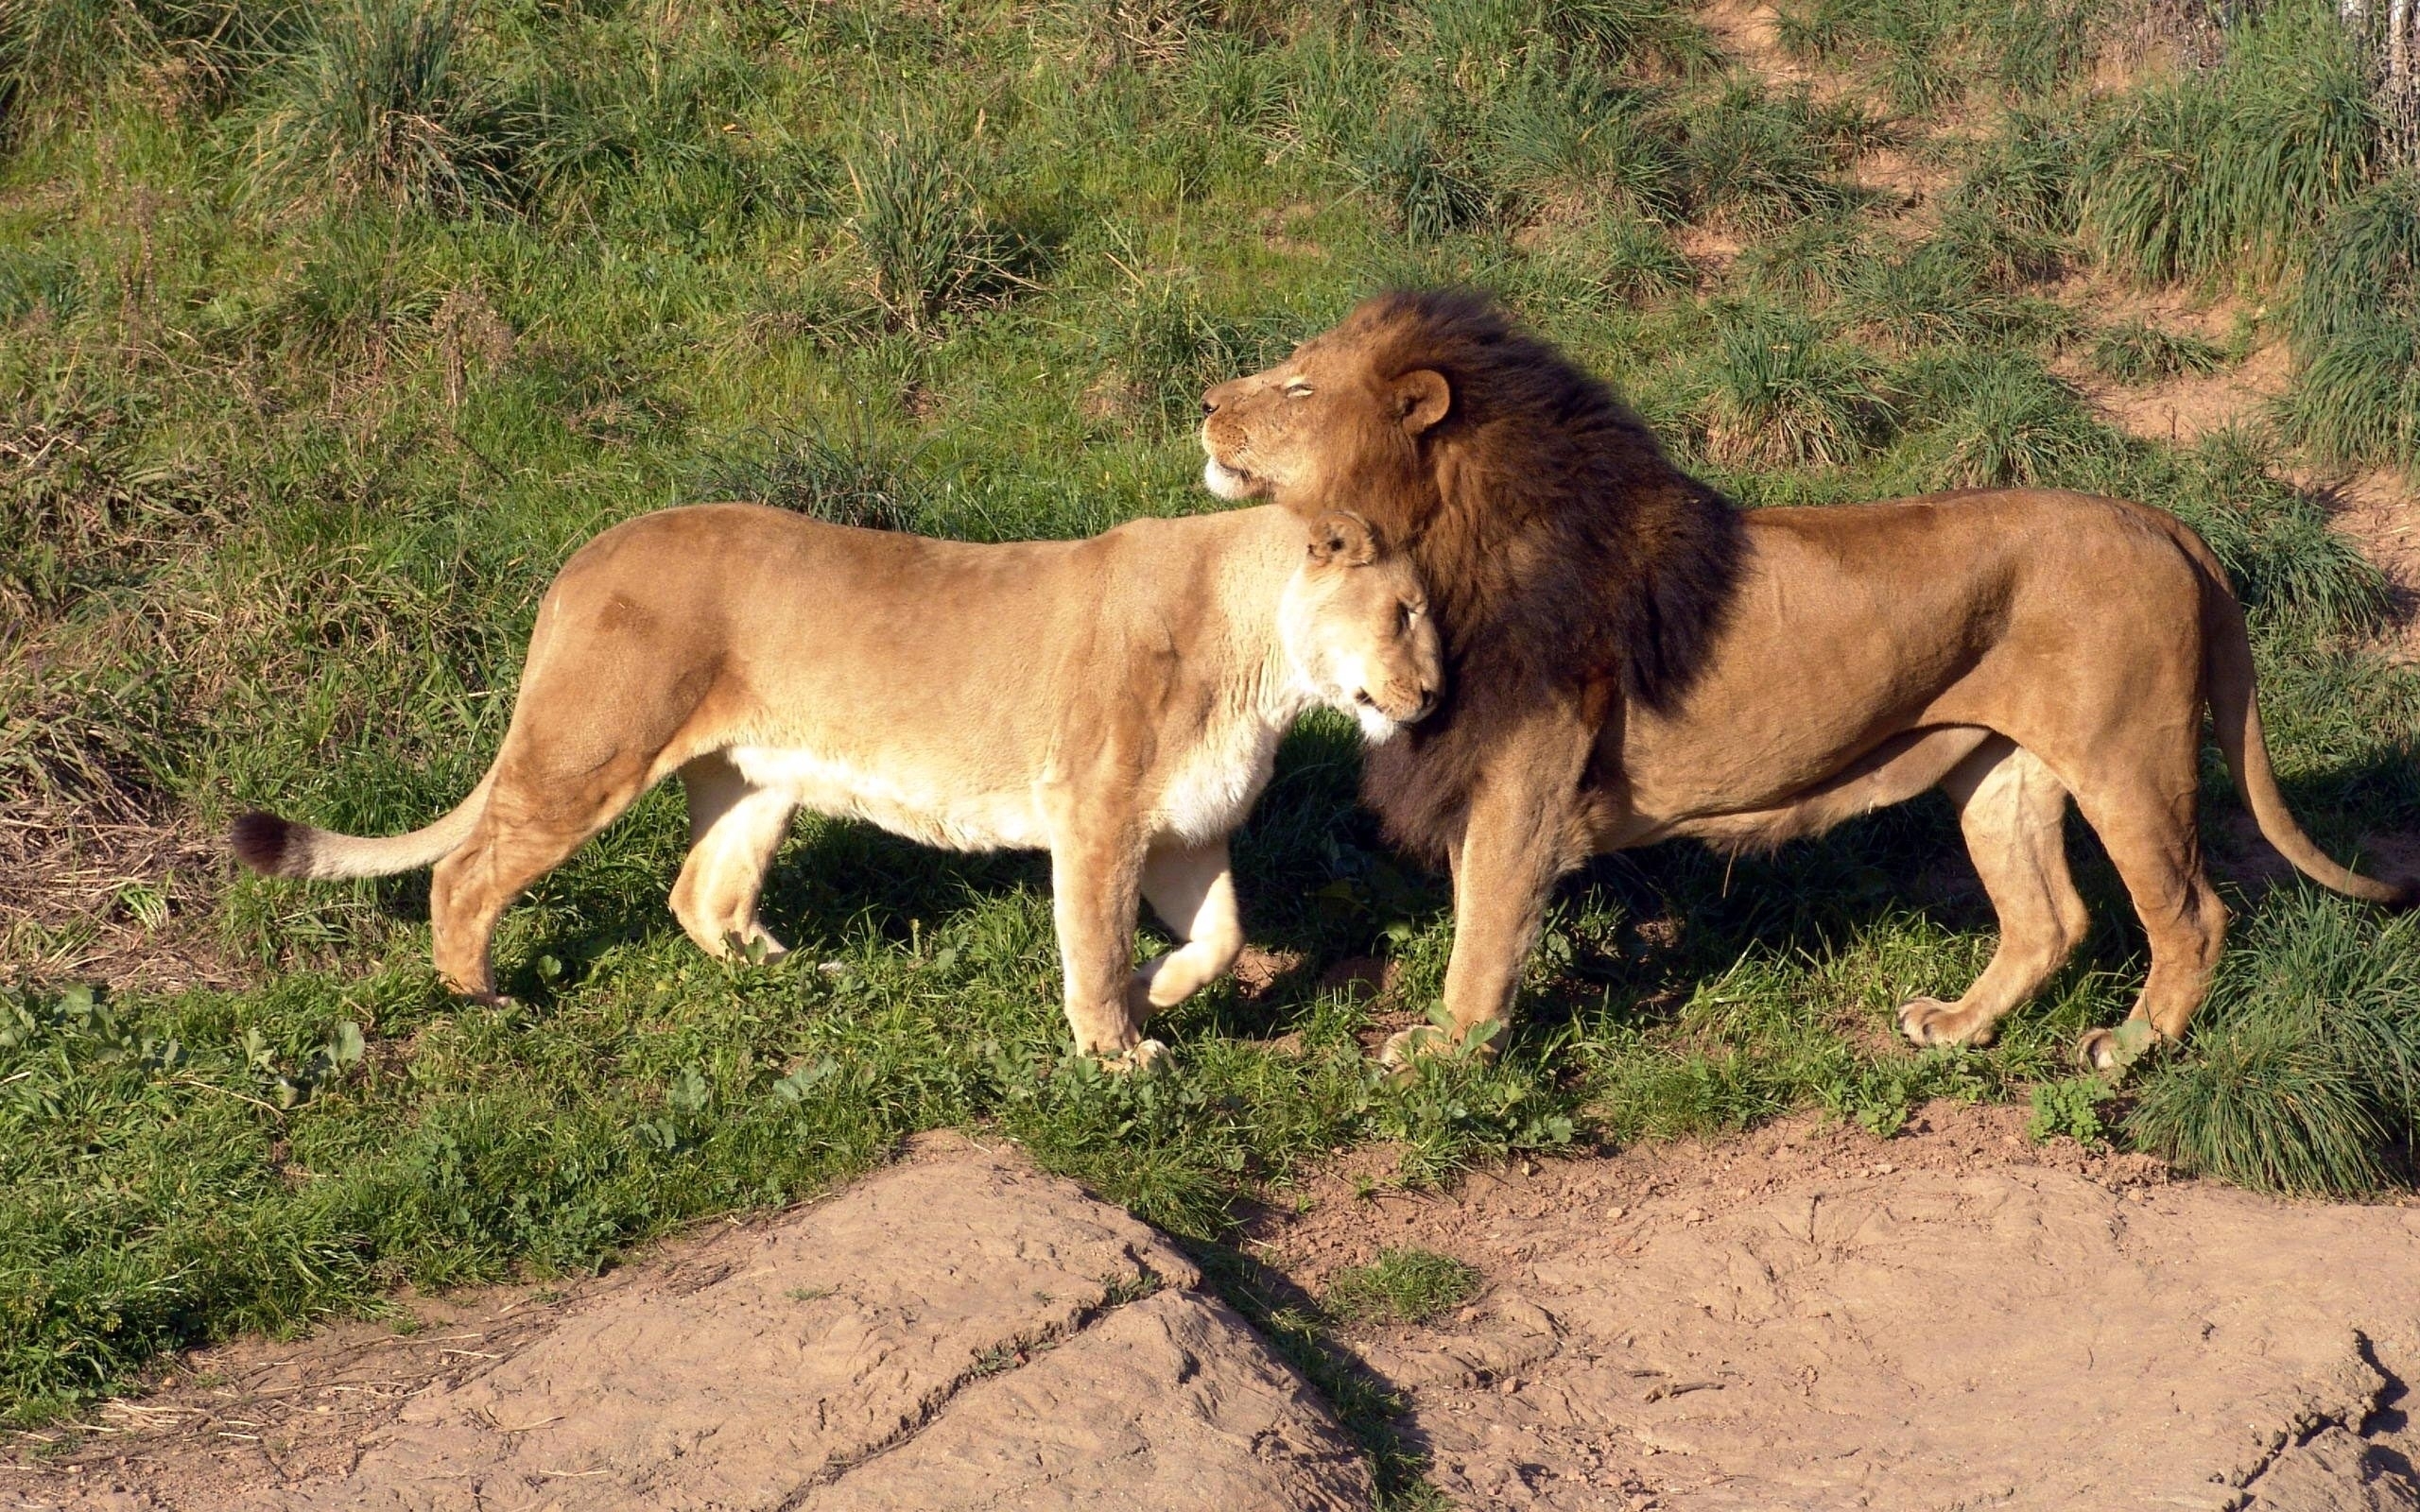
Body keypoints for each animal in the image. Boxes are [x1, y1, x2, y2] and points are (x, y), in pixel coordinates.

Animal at [230, 502, 1441, 1062]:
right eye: (1404, 612)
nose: (1432, 695)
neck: (1264, 667)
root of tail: (585, 558)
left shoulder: (1184, 828)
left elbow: (1222, 938)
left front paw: (1154, 995)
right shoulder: (1095, 817)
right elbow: (1092, 946)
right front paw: (1116, 1051)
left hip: (756, 780)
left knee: (698, 892)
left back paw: (795, 974)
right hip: (592, 748)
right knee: (470, 871)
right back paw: (480, 996)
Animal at [1200, 290, 2408, 1069]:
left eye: (1297, 383)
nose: (1206, 401)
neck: (1431, 543)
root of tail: (2158, 519)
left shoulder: (1520, 785)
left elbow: (1483, 933)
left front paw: (1446, 1053)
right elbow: (1473, 914)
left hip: (2129, 761)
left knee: (2193, 915)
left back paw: (2129, 1046)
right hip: (2000, 770)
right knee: (2049, 918)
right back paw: (1956, 1027)